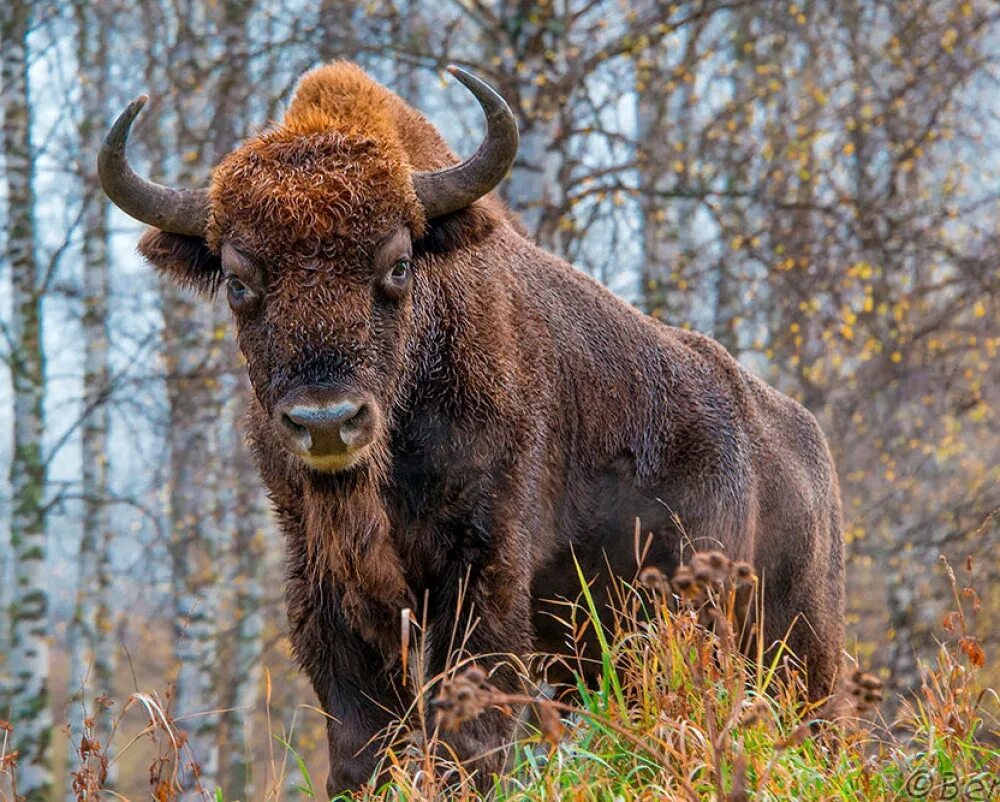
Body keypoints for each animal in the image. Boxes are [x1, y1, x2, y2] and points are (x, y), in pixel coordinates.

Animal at [99, 62, 844, 792]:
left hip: (790, 643)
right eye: (238, 281)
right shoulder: (323, 586)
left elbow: (469, 734)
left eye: (398, 265)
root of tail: (806, 446)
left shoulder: (482, 571)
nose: (328, 422)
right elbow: (361, 745)